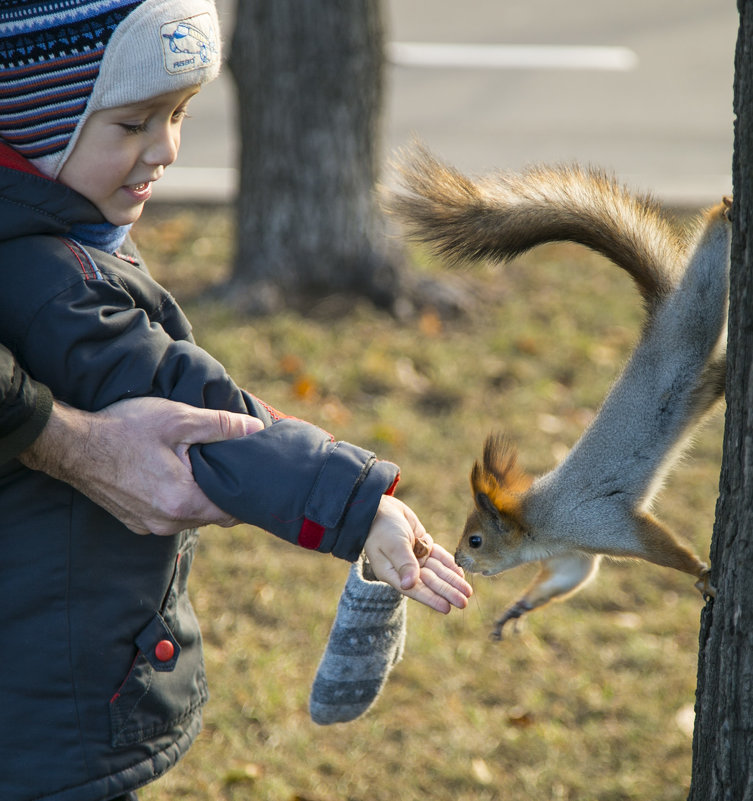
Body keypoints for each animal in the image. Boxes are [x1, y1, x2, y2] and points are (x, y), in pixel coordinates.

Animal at [390, 145, 732, 636]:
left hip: (693, 320)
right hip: (702, 379)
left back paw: (723, 212)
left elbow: (663, 546)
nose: (456, 558)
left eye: (475, 539)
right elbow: (570, 576)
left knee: (706, 282)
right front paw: (518, 607)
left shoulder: (599, 522)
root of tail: (661, 314)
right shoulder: (575, 553)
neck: (541, 525)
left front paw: (702, 573)